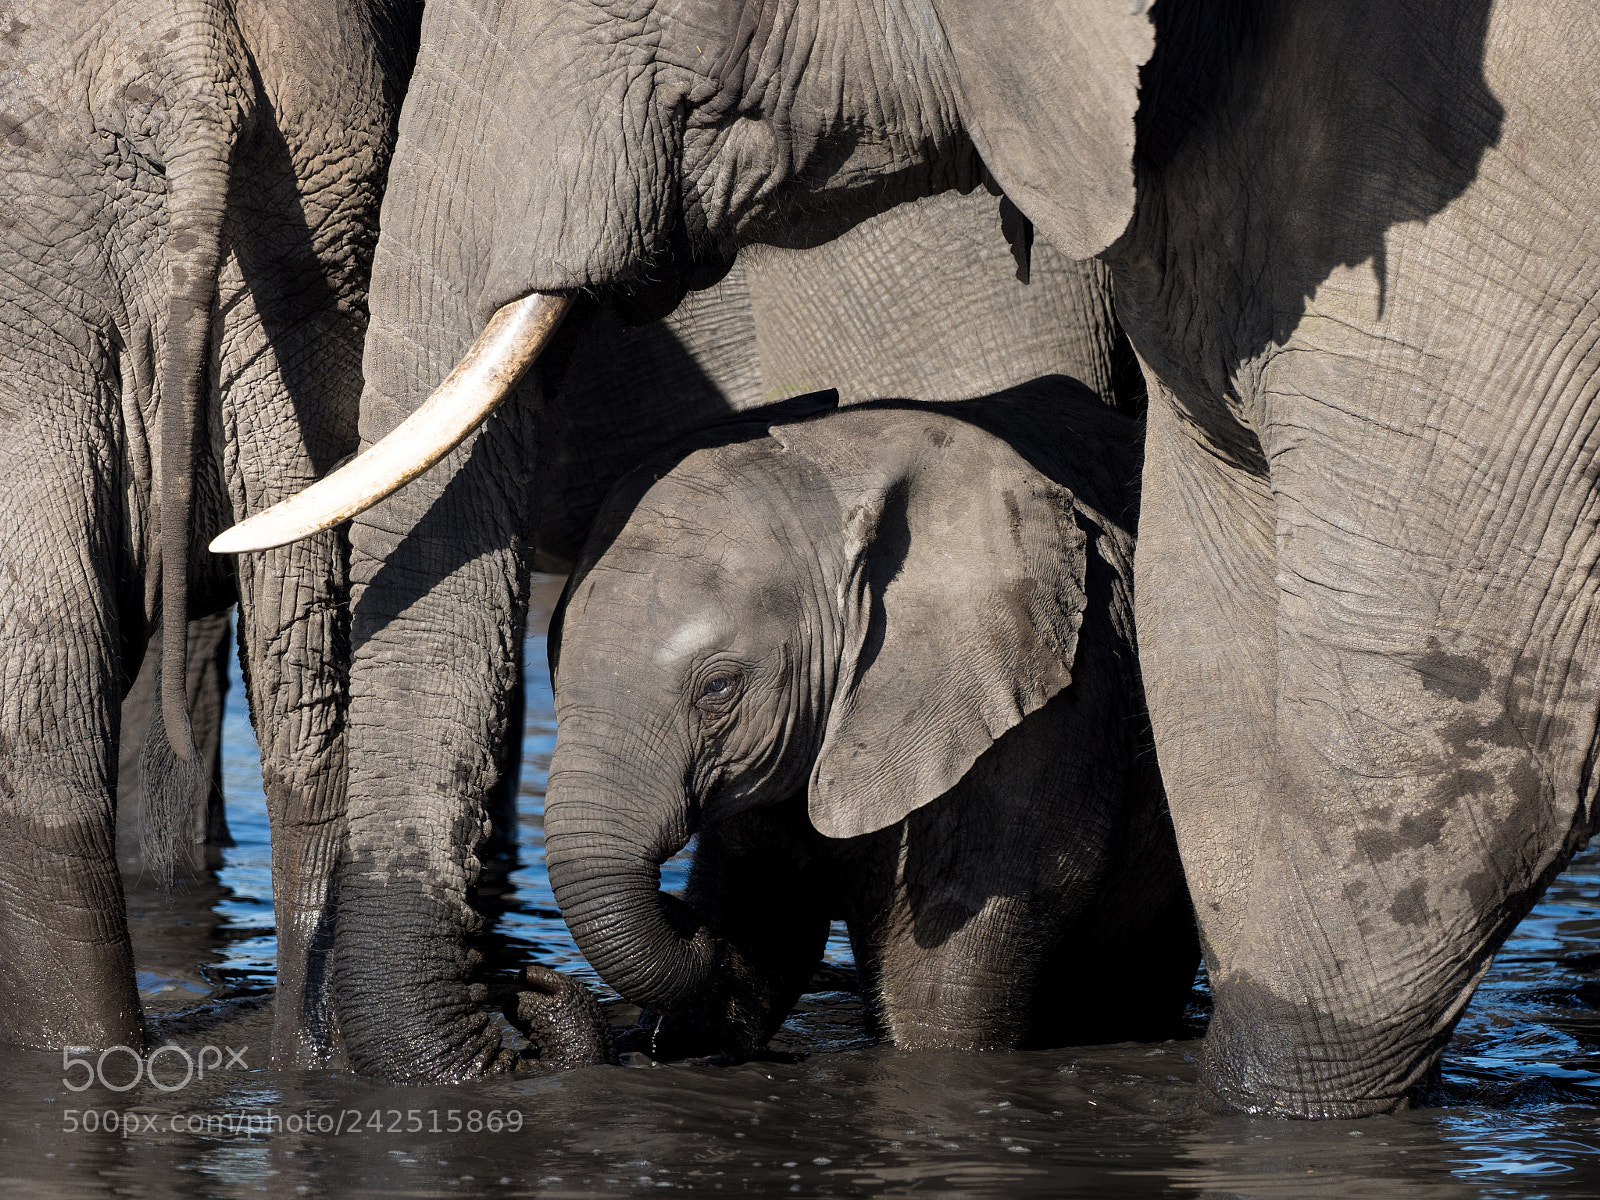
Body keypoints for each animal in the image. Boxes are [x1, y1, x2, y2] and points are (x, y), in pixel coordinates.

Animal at [544, 381, 1196, 1057]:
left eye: (719, 688)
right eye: (550, 661)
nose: (541, 985)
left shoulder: (1054, 705)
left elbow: (941, 973)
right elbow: (761, 918)